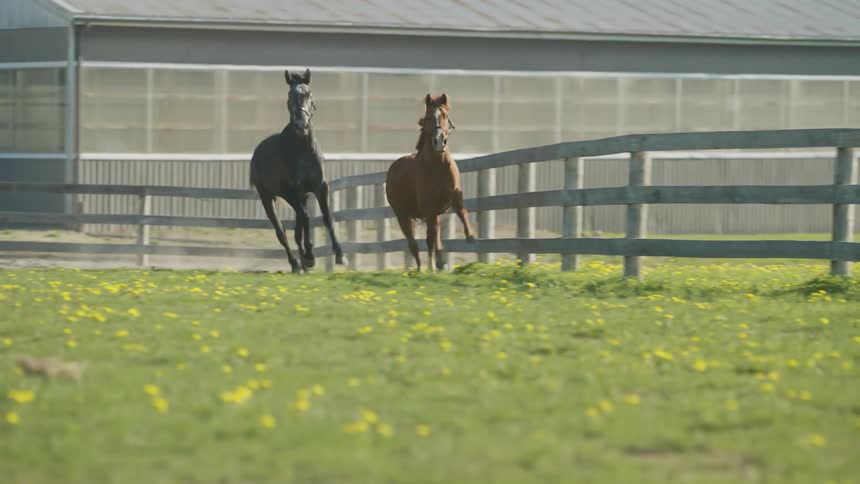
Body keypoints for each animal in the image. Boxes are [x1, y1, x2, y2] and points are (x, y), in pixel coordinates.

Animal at [249, 68, 346, 273]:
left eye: (309, 94)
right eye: (289, 96)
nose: (301, 125)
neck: (302, 150)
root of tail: (257, 152)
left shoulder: (319, 187)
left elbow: (327, 217)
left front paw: (340, 254)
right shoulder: (294, 191)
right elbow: (307, 218)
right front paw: (310, 257)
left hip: (299, 197)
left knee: (297, 230)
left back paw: (302, 263)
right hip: (269, 197)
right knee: (282, 231)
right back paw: (296, 262)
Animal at [386, 93, 476, 272]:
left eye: (445, 115)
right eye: (427, 117)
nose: (439, 141)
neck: (437, 166)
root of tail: (393, 167)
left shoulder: (454, 196)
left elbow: (462, 212)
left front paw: (470, 236)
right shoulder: (429, 208)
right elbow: (432, 236)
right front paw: (439, 261)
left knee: (432, 236)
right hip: (403, 216)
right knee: (414, 243)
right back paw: (422, 268)